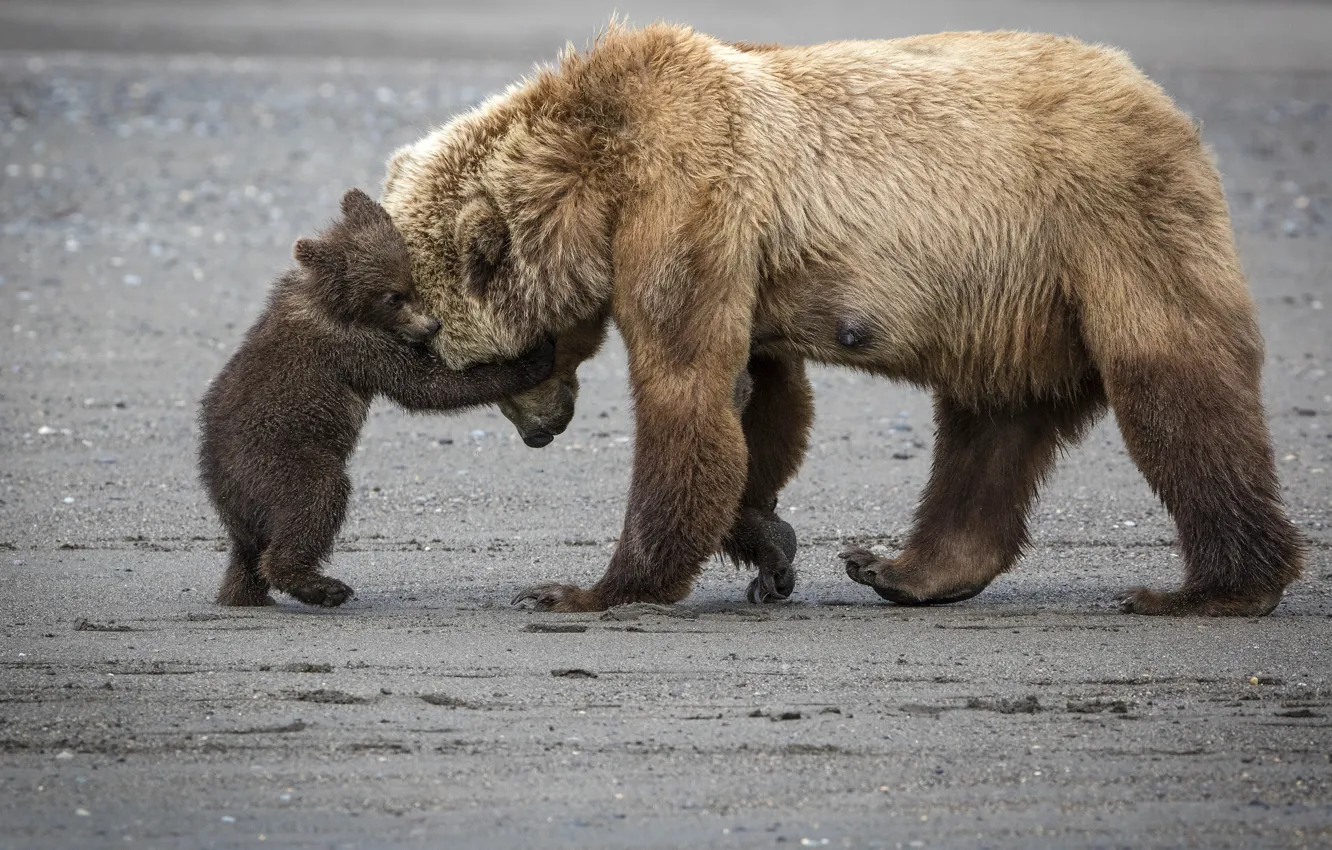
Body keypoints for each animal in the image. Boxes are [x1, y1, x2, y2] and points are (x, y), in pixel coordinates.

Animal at [198, 188, 555, 608]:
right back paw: (321, 585)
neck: (334, 304)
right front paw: (534, 357)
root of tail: (221, 490)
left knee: (248, 554)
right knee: (316, 499)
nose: (432, 325)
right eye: (392, 297)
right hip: (278, 461)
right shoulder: (356, 347)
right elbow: (425, 385)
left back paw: (245, 594)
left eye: (411, 282)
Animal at [381, 24, 1305, 616]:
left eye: (469, 360)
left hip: (1105, 226)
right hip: (1011, 300)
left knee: (1175, 387)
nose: (541, 431)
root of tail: (1163, 103)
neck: (594, 173)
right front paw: (769, 545)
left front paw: (587, 588)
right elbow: (760, 400)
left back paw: (1215, 588)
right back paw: (904, 568)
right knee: (990, 425)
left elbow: (687, 389)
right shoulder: (739, 253)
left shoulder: (688, 198)